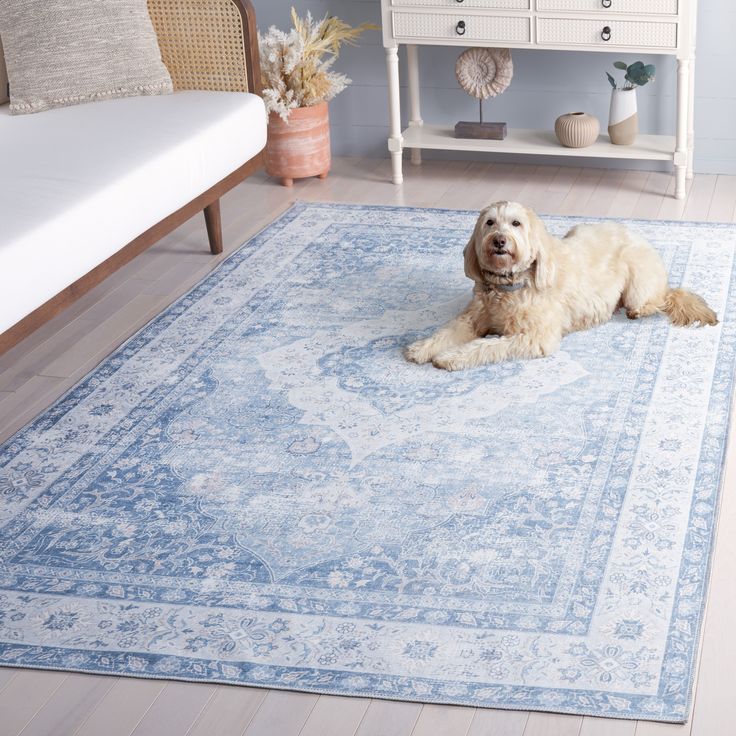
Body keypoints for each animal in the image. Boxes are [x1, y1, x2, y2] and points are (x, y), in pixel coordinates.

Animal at [406, 201, 716, 370]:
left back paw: (638, 310)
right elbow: (446, 332)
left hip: (638, 283)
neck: (509, 286)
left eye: (516, 223)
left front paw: (451, 357)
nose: (499, 241)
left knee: (654, 301)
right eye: (490, 223)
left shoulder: (534, 337)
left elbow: (485, 346)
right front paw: (422, 347)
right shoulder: (472, 318)